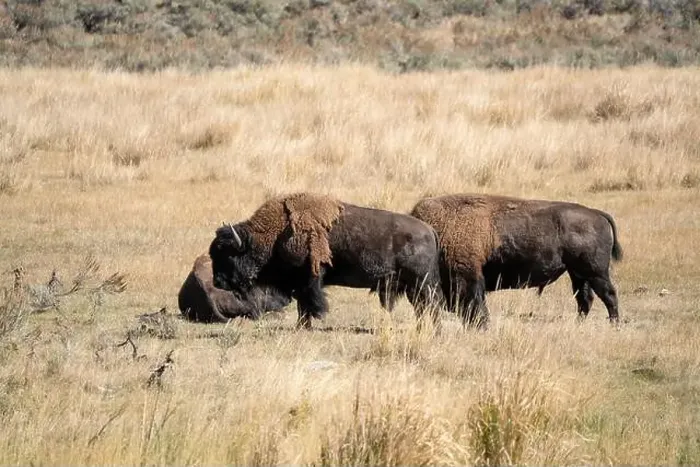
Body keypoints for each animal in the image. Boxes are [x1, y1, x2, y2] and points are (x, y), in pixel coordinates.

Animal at [208, 193, 443, 330]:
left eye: (228, 254)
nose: (217, 281)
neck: (274, 235)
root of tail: (429, 230)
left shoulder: (308, 280)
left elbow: (309, 302)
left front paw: (305, 325)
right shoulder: (299, 283)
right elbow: (302, 304)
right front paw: (302, 326)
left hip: (422, 283)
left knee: (431, 305)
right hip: (413, 287)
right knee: (423, 308)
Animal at [410, 193, 623, 328]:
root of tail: (597, 213)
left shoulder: (468, 277)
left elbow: (475, 305)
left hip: (596, 273)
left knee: (609, 296)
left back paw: (614, 325)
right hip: (578, 274)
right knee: (585, 299)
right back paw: (578, 325)